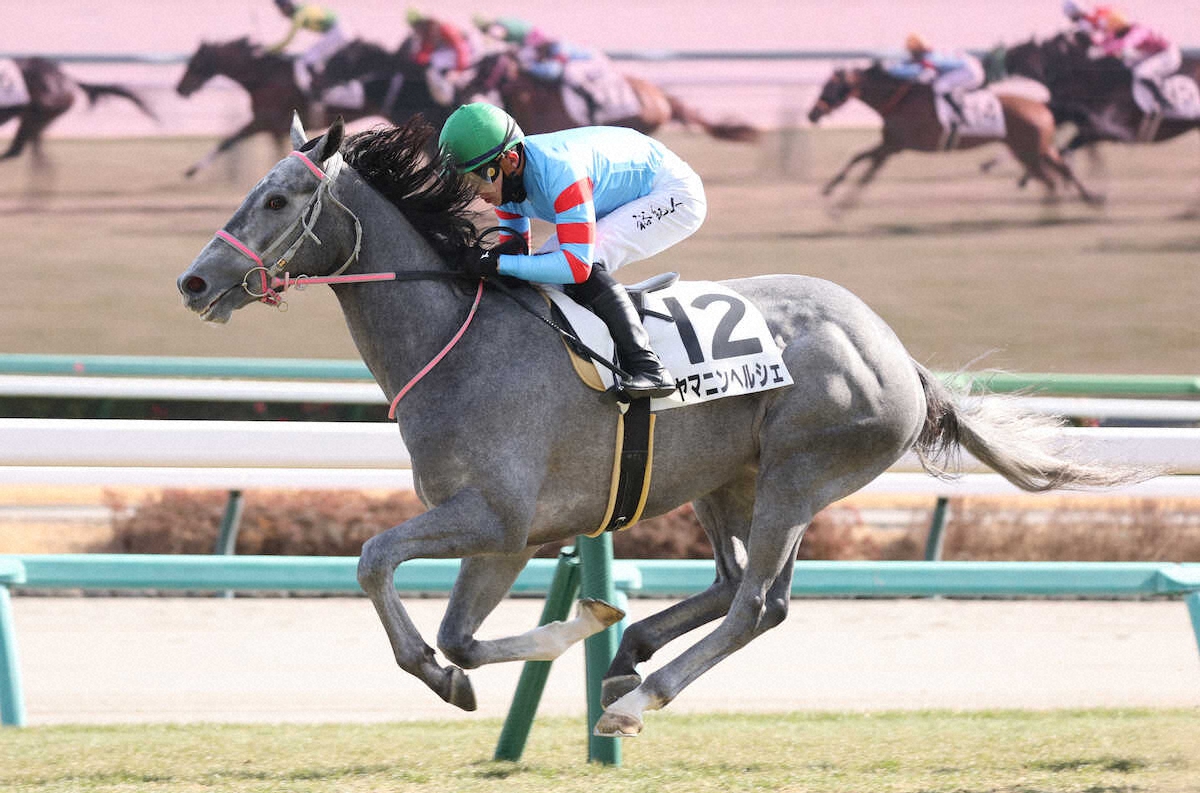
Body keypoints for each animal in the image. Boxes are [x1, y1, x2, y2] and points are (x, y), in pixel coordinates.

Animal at [176, 113, 1148, 738]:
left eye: (277, 199)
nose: (193, 282)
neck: (457, 340)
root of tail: (899, 355)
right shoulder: (506, 536)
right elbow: (455, 636)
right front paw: (542, 641)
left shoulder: (497, 518)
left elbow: (375, 560)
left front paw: (497, 661)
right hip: (727, 475)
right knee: (732, 583)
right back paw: (628, 653)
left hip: (799, 472)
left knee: (757, 602)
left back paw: (637, 696)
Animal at [807, 63, 1101, 206]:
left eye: (831, 87)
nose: (812, 114)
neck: (900, 99)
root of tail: (1042, 105)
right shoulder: (890, 144)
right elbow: (858, 158)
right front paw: (828, 188)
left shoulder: (893, 146)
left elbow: (865, 171)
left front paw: (839, 205)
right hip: (1038, 147)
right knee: (1062, 169)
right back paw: (1090, 199)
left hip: (1028, 151)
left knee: (1052, 177)